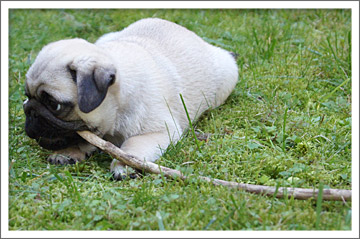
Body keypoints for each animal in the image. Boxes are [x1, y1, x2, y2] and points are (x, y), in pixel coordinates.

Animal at [23, 17, 239, 179]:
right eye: (26, 96)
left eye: (53, 104)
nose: (30, 110)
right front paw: (68, 152)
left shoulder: (159, 130)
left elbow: (132, 145)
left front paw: (123, 164)